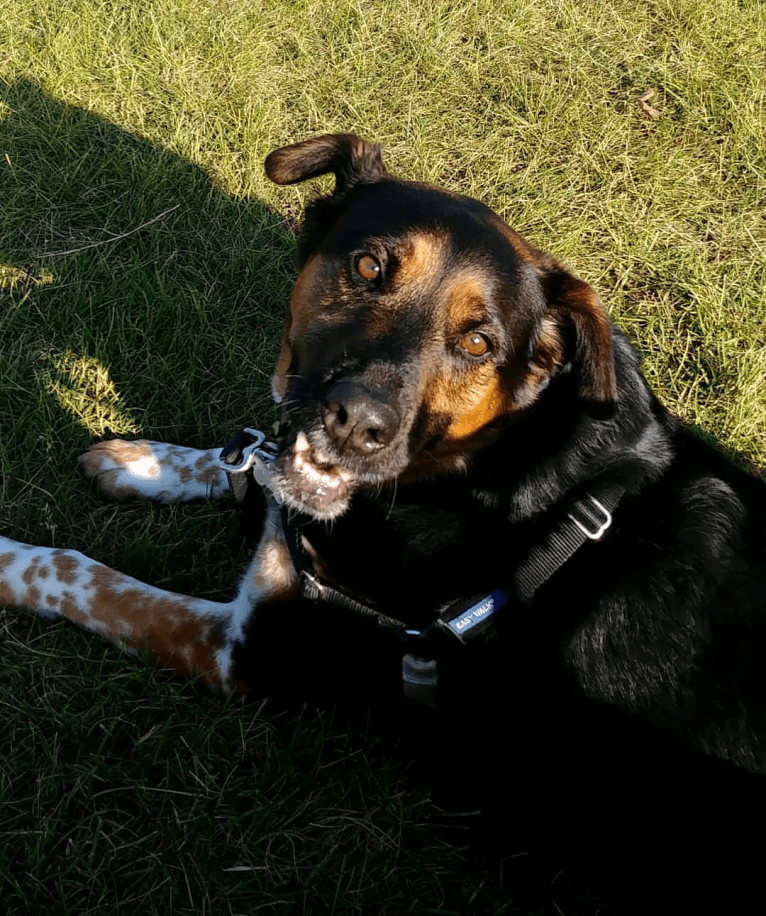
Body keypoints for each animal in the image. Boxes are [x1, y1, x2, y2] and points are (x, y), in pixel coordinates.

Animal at [1, 134, 766, 908]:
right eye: (369, 267)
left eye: (479, 344)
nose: (358, 425)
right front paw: (140, 461)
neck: (491, 475)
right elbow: (246, 462)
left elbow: (88, 577)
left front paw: (8, 559)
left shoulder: (254, 648)